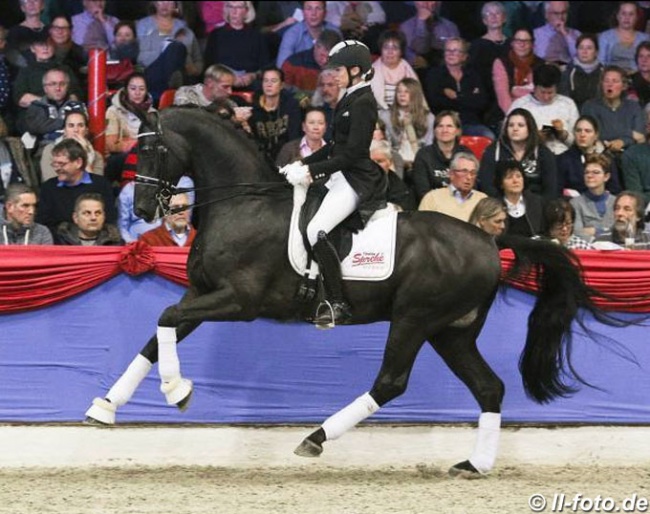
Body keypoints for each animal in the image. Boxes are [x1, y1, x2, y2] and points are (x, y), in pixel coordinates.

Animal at [83, 108, 620, 476]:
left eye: (151, 150)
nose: (144, 208)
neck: (243, 203)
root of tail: (490, 240)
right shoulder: (204, 293)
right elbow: (159, 333)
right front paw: (104, 407)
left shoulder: (239, 300)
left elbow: (166, 318)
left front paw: (177, 392)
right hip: (451, 331)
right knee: (489, 387)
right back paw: (474, 465)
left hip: (415, 319)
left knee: (391, 382)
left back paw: (315, 437)